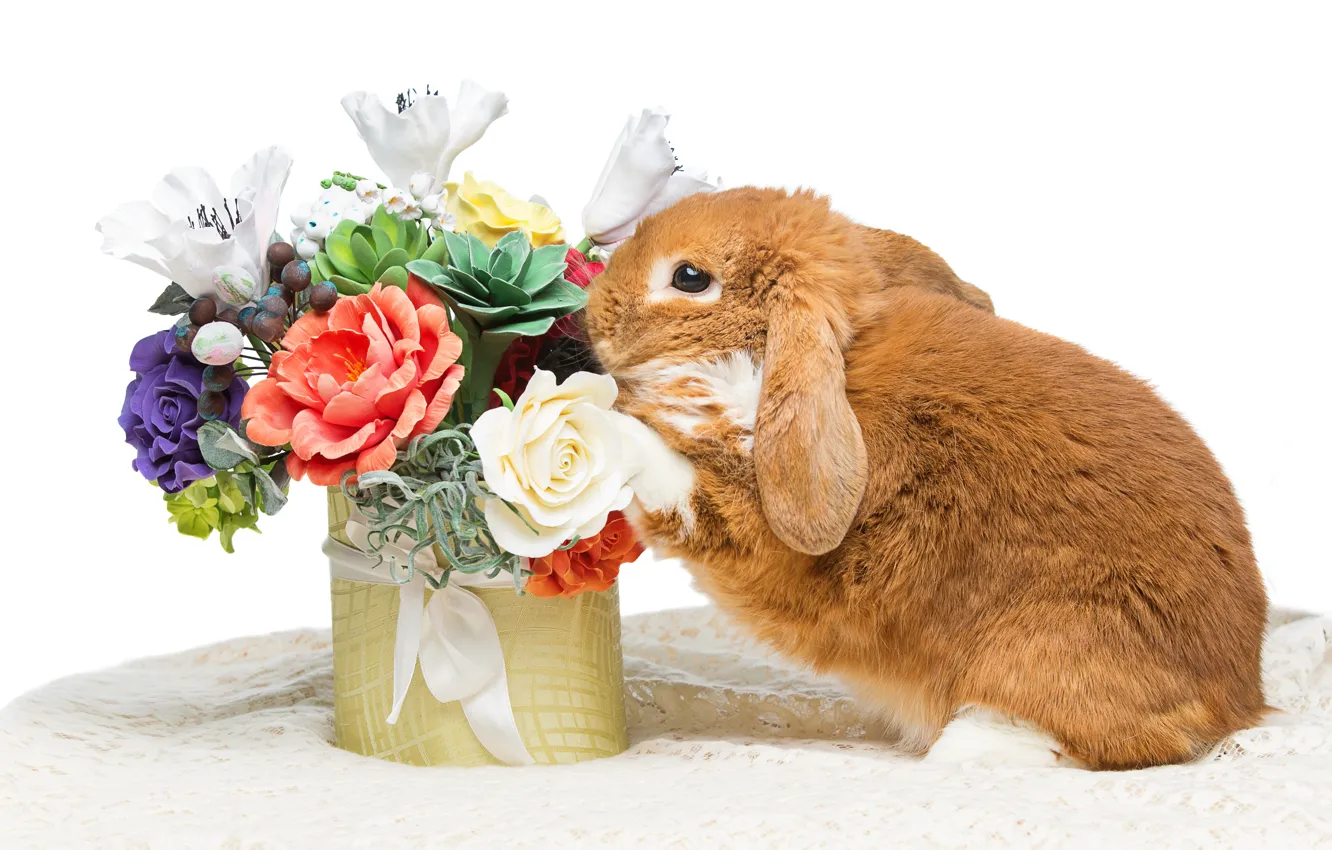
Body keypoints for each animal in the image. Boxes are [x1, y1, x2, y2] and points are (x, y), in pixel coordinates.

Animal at [583, 187, 1268, 770]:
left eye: (689, 277)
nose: (595, 309)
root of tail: (1239, 699)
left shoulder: (747, 526)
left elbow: (667, 476)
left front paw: (601, 425)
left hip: (1047, 645)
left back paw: (963, 748)